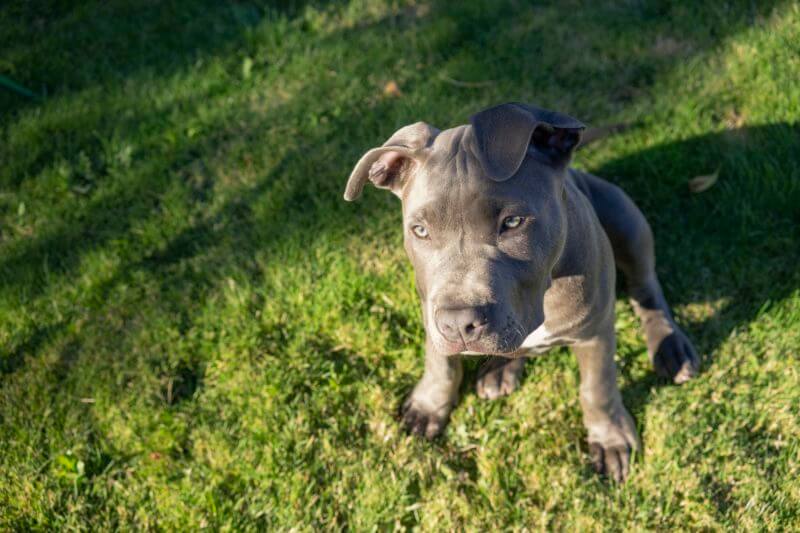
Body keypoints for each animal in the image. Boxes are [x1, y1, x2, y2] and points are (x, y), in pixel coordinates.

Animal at [344, 103, 700, 482]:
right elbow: (440, 361)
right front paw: (429, 405)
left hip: (626, 217)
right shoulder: (431, 307)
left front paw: (610, 439)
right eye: (420, 230)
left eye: (513, 223)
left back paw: (670, 347)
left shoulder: (596, 332)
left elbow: (597, 387)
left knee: (646, 287)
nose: (457, 324)